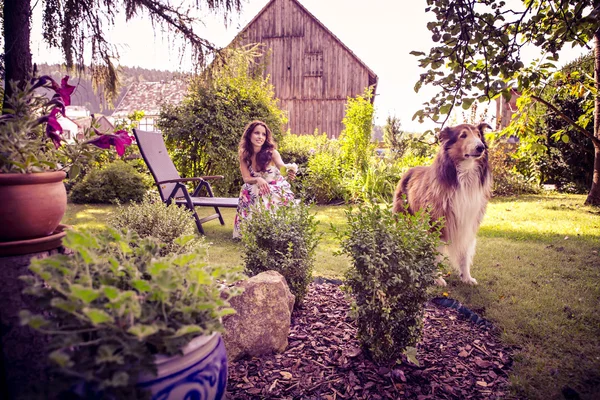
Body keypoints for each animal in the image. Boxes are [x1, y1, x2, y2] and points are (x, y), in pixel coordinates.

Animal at [394, 123, 492, 286]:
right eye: (463, 135)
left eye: (478, 135)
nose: (481, 147)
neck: (463, 178)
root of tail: (409, 170)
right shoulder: (436, 224)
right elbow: (437, 254)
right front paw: (437, 278)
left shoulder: (467, 223)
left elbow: (464, 253)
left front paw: (466, 277)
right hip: (404, 218)